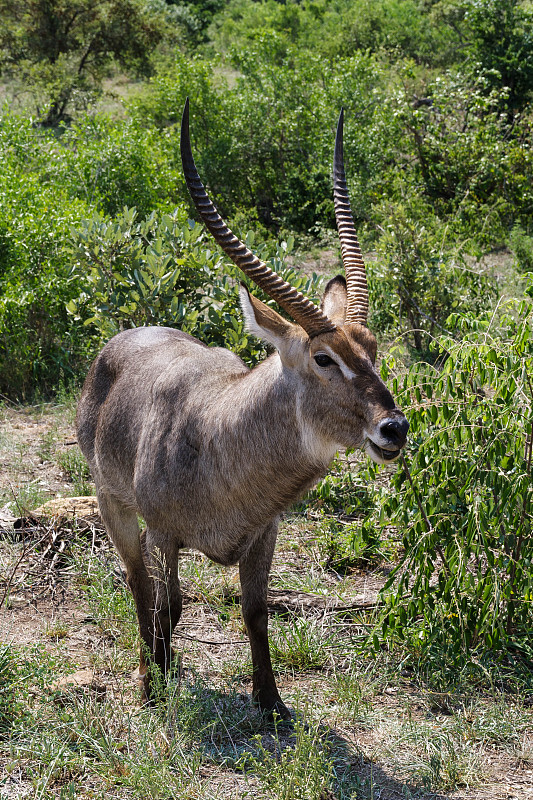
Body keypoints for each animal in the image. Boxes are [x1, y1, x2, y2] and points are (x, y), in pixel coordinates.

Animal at [76, 100, 408, 720]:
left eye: (373, 348)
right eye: (324, 358)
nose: (393, 428)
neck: (221, 437)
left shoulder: (264, 535)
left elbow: (256, 611)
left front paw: (271, 704)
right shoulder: (164, 534)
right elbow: (168, 604)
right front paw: (155, 686)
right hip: (115, 508)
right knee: (137, 585)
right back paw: (150, 670)